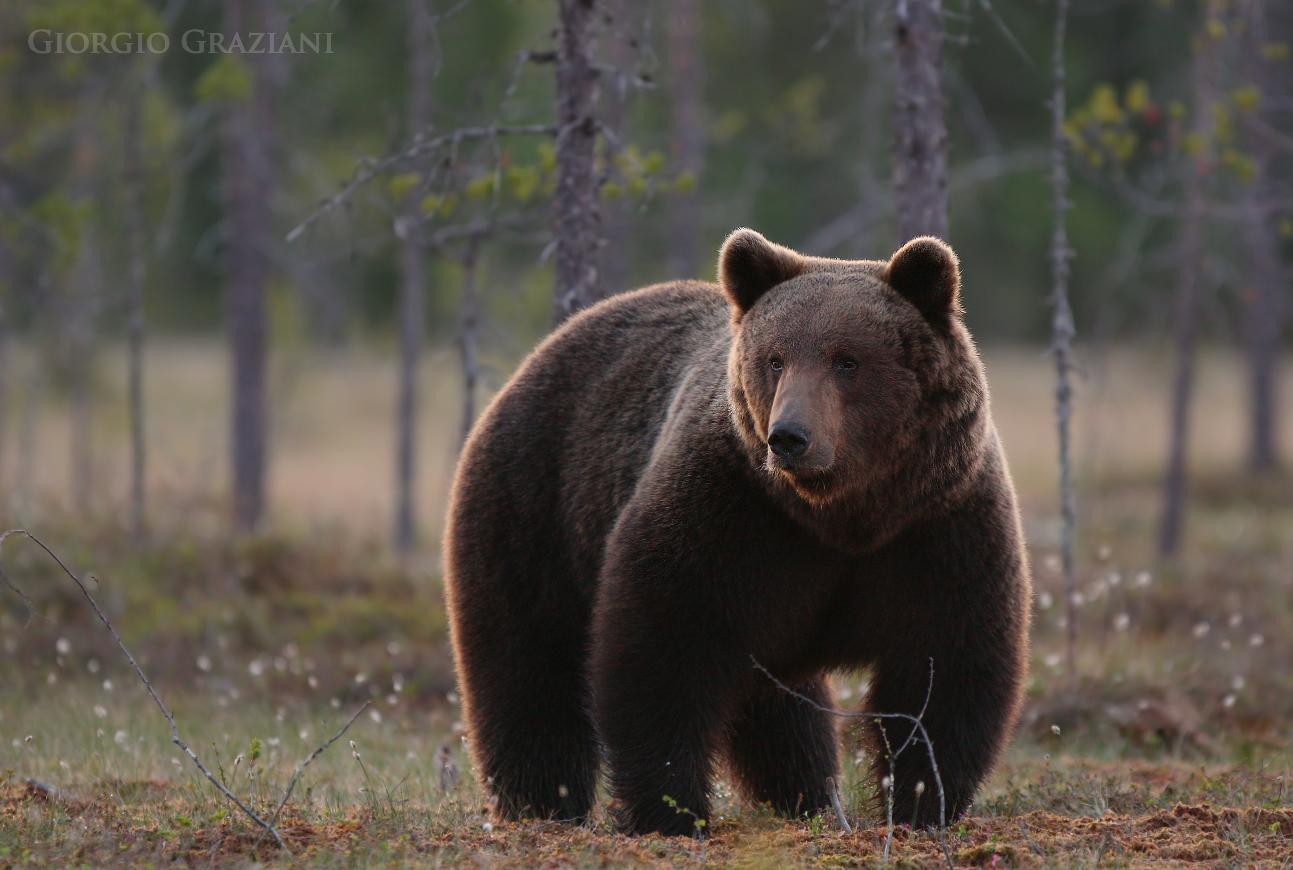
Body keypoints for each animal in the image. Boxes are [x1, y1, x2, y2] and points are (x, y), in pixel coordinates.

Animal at [443, 228, 1032, 837]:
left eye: (846, 360)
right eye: (774, 359)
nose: (789, 436)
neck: (842, 516)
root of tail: (536, 357)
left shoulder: (939, 526)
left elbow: (947, 665)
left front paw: (921, 803)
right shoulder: (728, 515)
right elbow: (662, 647)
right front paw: (670, 810)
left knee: (783, 716)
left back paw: (808, 797)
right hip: (535, 505)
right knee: (527, 668)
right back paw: (541, 803)